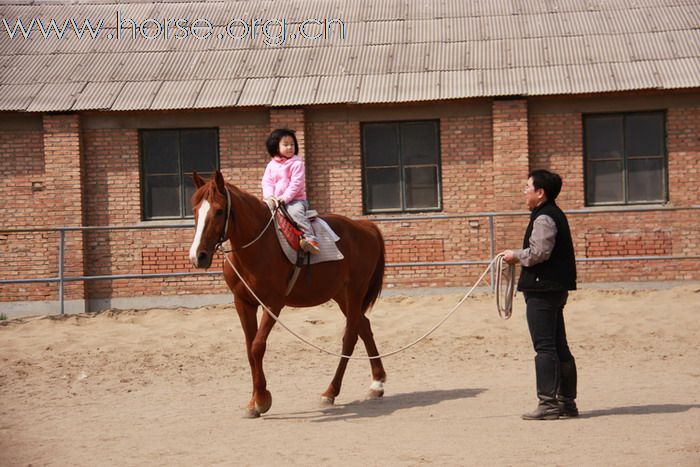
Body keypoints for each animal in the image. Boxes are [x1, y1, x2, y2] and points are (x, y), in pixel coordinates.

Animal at [189, 170, 386, 418]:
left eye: (219, 211)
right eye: (195, 210)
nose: (198, 256)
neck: (259, 247)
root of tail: (366, 227)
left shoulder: (273, 303)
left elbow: (257, 346)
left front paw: (262, 400)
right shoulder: (243, 303)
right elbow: (249, 349)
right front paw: (254, 402)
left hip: (355, 292)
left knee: (350, 337)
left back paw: (330, 391)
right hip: (342, 296)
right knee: (365, 328)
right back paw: (377, 383)